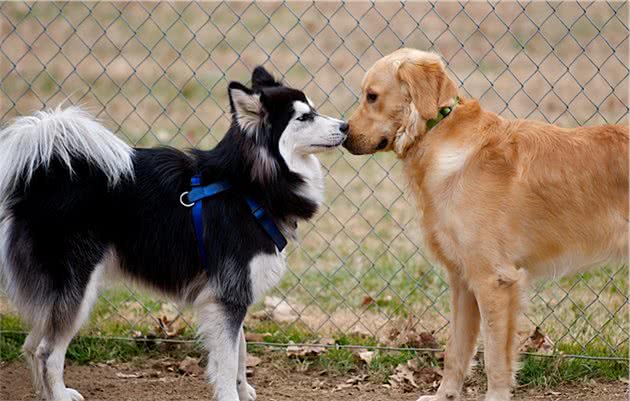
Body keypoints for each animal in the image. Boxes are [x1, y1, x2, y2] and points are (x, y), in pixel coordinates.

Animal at [0, 68, 348, 400]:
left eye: (314, 108)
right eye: (303, 117)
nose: (346, 126)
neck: (247, 186)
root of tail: (42, 175)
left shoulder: (230, 293)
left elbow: (240, 350)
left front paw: (243, 389)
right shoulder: (228, 295)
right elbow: (227, 360)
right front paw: (230, 395)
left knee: (31, 345)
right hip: (78, 286)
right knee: (47, 352)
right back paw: (59, 394)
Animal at [348, 47, 628, 400]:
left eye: (372, 96)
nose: (343, 135)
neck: (438, 134)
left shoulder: (493, 281)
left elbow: (494, 356)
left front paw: (494, 395)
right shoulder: (462, 280)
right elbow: (455, 350)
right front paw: (444, 395)